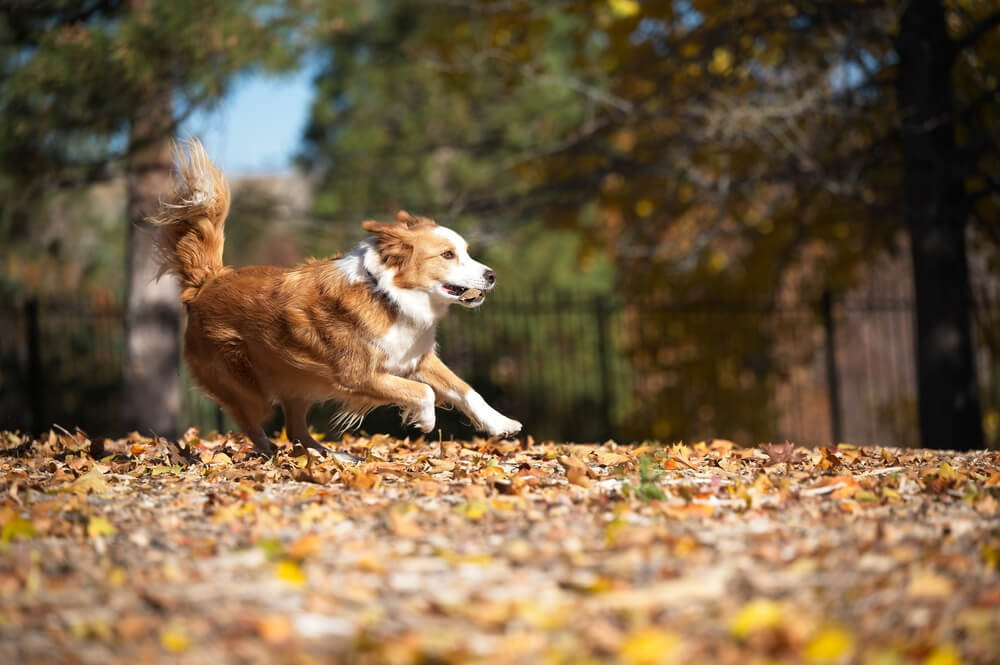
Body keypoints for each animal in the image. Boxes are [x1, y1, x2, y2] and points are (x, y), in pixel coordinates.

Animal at [152, 137, 524, 454]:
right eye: (447, 255)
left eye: (466, 251)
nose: (491, 275)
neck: (389, 297)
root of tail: (209, 280)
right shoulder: (358, 375)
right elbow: (424, 392)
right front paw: (426, 419)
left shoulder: (417, 358)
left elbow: (465, 390)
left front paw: (501, 423)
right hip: (249, 386)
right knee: (254, 424)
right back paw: (275, 456)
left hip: (300, 383)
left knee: (296, 430)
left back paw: (330, 457)